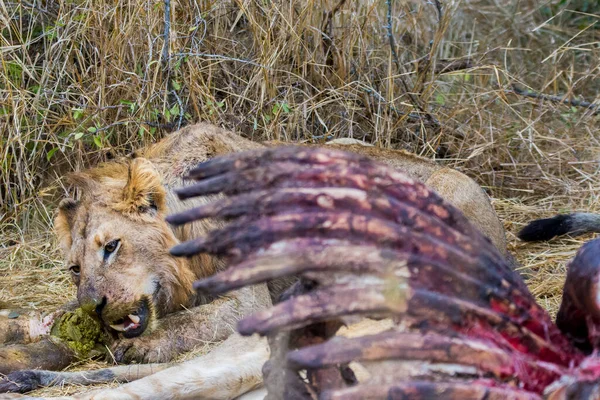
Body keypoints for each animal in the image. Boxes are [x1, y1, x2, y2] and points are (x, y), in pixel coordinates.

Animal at [0, 123, 510, 398]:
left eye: (112, 246)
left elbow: (186, 325)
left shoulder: (249, 301)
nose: (96, 308)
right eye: (74, 268)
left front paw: (136, 345)